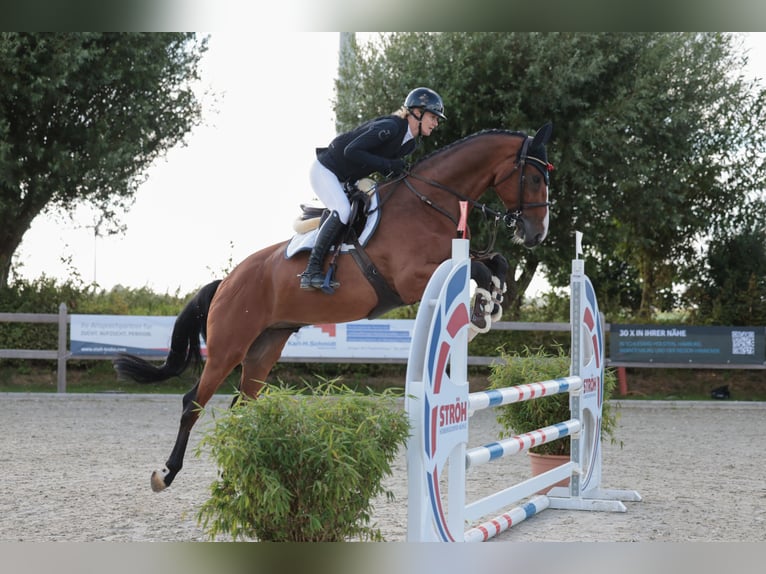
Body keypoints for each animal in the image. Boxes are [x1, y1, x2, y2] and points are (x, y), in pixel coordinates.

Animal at [114, 124, 556, 492]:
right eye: (534, 178)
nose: (537, 234)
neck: (430, 201)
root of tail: (226, 282)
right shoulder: (411, 276)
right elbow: (479, 266)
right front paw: (486, 302)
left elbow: (494, 261)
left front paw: (489, 302)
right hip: (229, 346)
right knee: (193, 402)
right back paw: (165, 474)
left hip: (265, 347)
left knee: (243, 404)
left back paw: (240, 471)